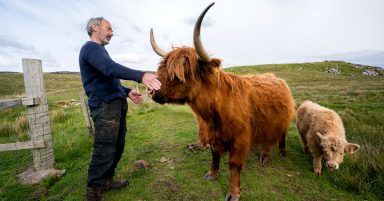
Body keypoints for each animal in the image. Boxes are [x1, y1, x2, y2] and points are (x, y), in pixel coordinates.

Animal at [148, 2, 296, 200]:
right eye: (162, 69)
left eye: (179, 75)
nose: (152, 91)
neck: (213, 112)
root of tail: (277, 79)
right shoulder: (213, 134)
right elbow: (214, 155)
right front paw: (212, 174)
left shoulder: (240, 138)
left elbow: (234, 165)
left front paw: (233, 193)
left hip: (278, 121)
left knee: (277, 136)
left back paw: (271, 154)